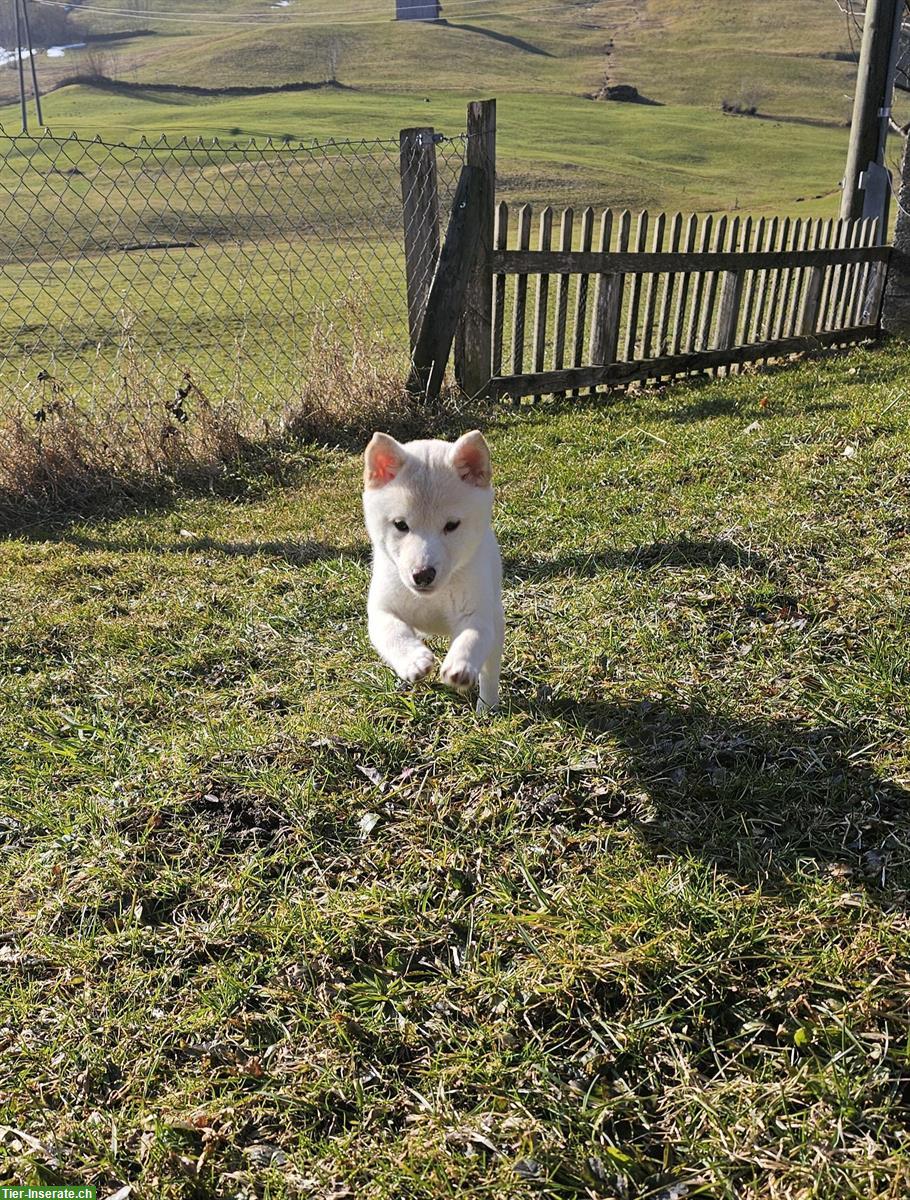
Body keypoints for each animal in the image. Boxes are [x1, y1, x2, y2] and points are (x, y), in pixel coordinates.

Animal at [362, 432, 506, 710]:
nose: (423, 575)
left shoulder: (478, 614)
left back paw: (487, 706)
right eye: (400, 525)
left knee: (489, 673)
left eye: (452, 525)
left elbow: (472, 637)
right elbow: (393, 632)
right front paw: (413, 660)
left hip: (496, 622)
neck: (433, 598)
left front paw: (460, 665)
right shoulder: (381, 610)